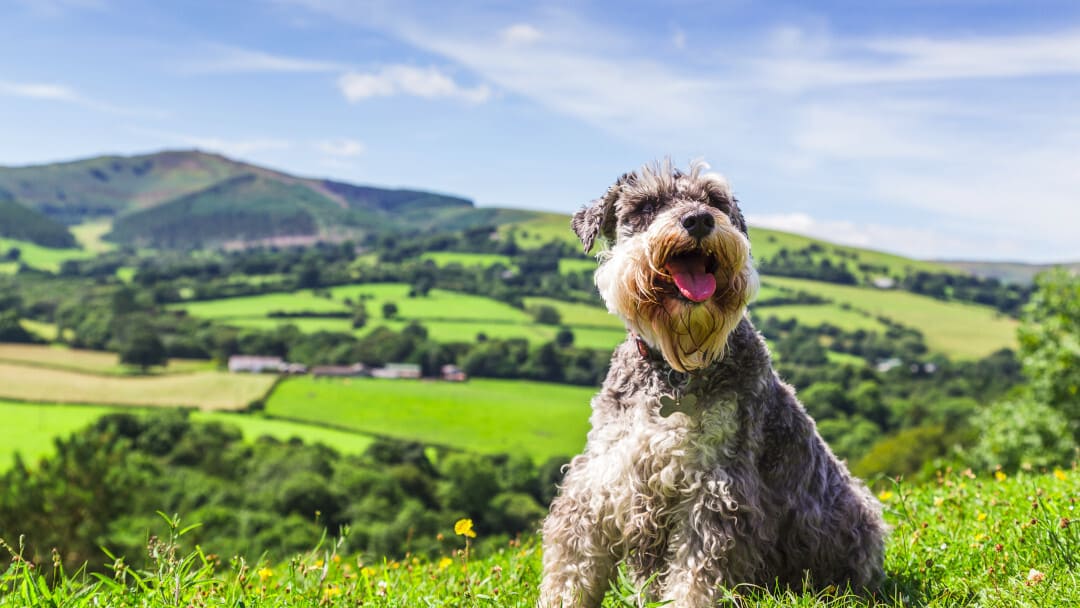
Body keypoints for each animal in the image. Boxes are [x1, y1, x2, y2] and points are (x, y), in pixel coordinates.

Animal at [540, 159, 885, 604]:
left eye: (715, 200)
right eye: (647, 205)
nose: (699, 219)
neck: (675, 368)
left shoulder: (716, 488)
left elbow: (697, 572)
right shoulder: (601, 477)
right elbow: (572, 563)